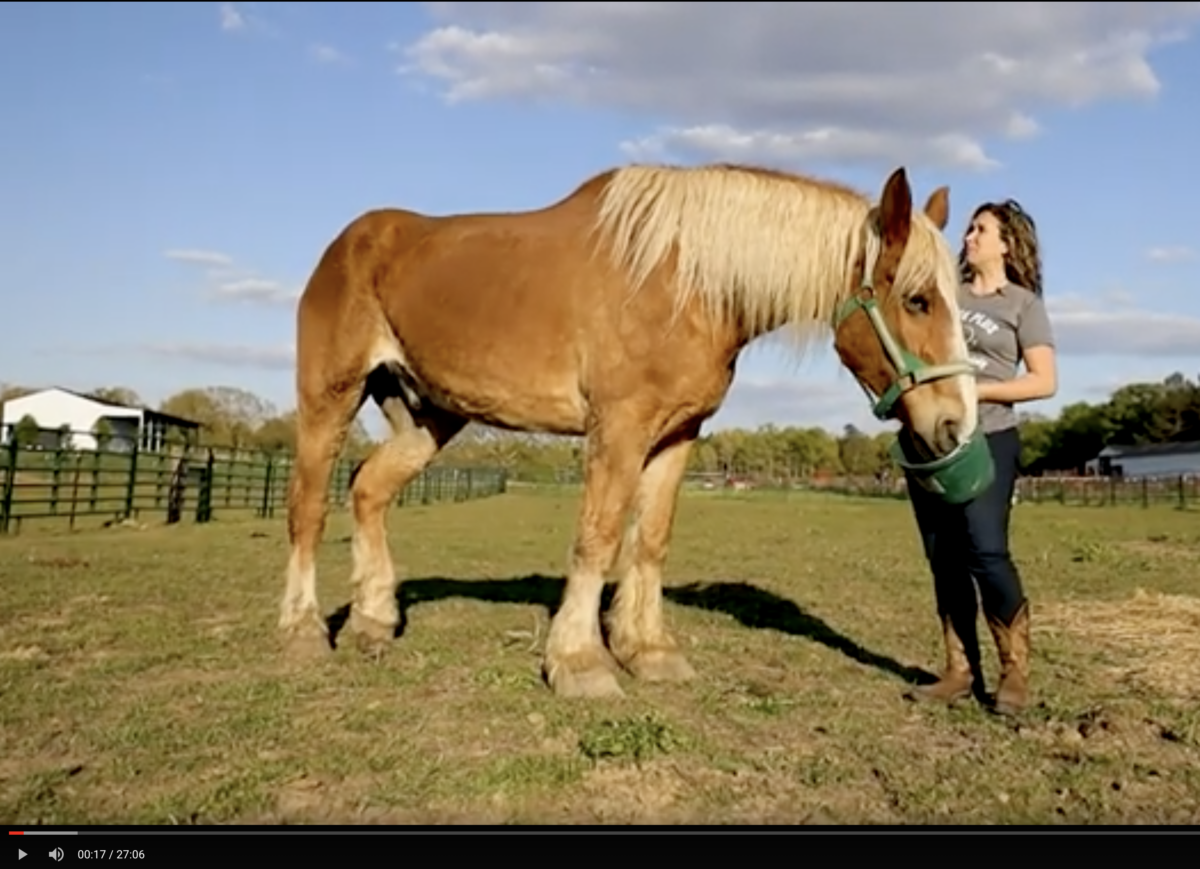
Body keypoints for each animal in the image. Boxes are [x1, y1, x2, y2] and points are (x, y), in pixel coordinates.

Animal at [279, 161, 978, 699]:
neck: (686, 281)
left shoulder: (676, 434)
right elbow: (599, 536)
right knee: (309, 507)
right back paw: (303, 630)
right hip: (329, 399)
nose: (955, 424)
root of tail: (350, 242)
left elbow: (649, 541)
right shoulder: (617, 427)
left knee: (368, 489)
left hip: (428, 415)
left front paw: (648, 651)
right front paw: (580, 662)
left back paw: (373, 620)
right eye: (918, 300)